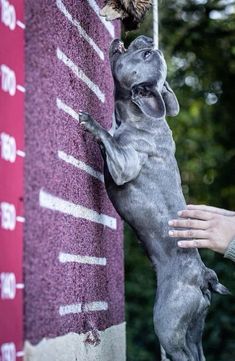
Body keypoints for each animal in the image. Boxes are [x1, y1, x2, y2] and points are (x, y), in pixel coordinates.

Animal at [78, 34, 228, 360]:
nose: (146, 38)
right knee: (197, 352)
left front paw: (92, 124)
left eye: (145, 54)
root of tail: (203, 276)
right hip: (193, 330)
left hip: (167, 326)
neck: (139, 117)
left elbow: (108, 140)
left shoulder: (126, 163)